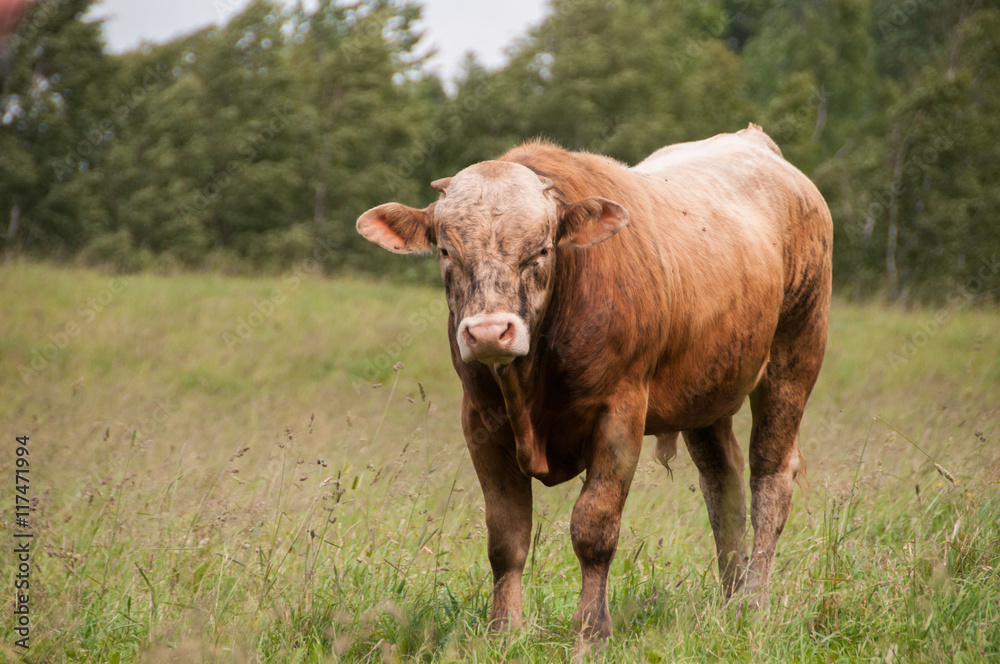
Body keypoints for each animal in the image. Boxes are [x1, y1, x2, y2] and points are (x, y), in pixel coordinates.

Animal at [356, 123, 832, 640]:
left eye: (541, 250)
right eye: (446, 251)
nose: (488, 332)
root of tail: (754, 141)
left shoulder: (620, 414)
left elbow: (594, 529)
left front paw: (590, 631)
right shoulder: (480, 422)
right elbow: (506, 537)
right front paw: (504, 630)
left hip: (795, 354)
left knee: (770, 474)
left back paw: (752, 604)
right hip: (709, 390)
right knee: (722, 483)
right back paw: (729, 599)